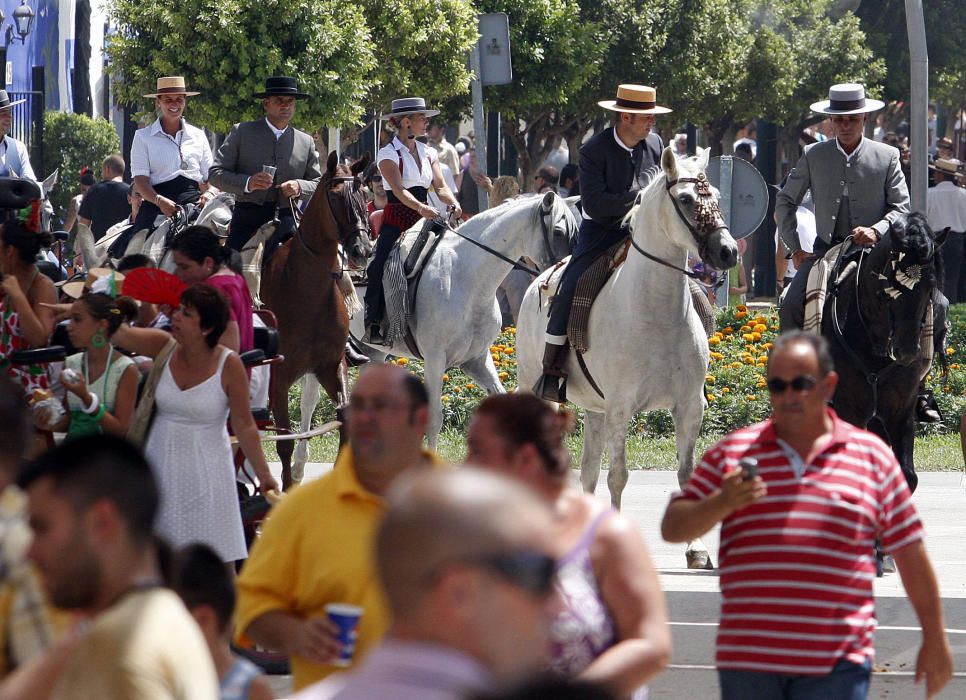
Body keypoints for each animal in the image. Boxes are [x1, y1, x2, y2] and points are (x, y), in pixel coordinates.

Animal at [260, 150, 370, 490]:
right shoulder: (279, 377)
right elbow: (284, 439)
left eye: (364, 193)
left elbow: (345, 418)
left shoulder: (330, 366)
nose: (362, 250)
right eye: (334, 196)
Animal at [288, 194, 576, 474]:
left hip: (373, 354)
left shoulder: (476, 360)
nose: (566, 272)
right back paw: (299, 465)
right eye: (559, 231)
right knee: (309, 401)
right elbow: (434, 418)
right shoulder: (436, 359)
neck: (466, 278)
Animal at [520, 149, 736, 568]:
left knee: (587, 470)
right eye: (686, 199)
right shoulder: (621, 408)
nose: (728, 251)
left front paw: (697, 548)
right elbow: (617, 475)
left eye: (717, 195)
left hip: (595, 409)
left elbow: (686, 474)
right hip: (539, 391)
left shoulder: (689, 407)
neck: (657, 311)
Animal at [820, 213, 948, 492]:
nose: (907, 351)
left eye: (930, 284)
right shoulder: (851, 408)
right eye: (892, 283)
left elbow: (907, 475)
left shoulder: (900, 409)